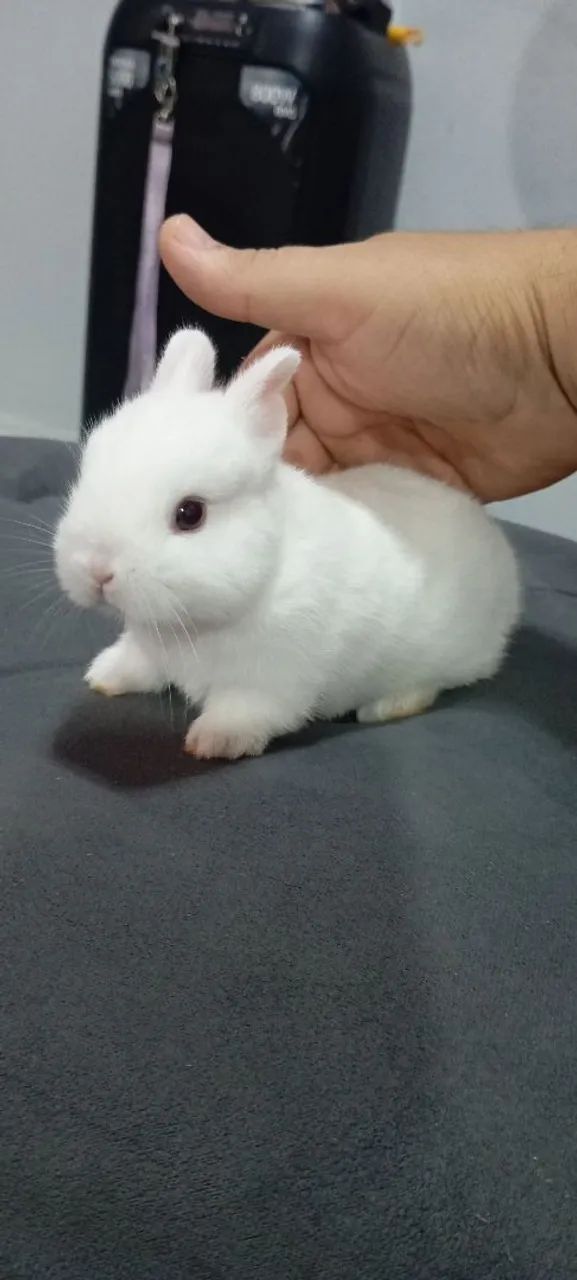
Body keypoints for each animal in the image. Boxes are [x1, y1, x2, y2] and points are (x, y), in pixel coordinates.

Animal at [54, 328, 521, 760]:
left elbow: (245, 711)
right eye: (86, 476)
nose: (96, 570)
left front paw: (213, 741)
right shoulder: (151, 647)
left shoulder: (270, 682)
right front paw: (104, 675)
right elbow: (139, 662)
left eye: (190, 514)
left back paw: (387, 707)